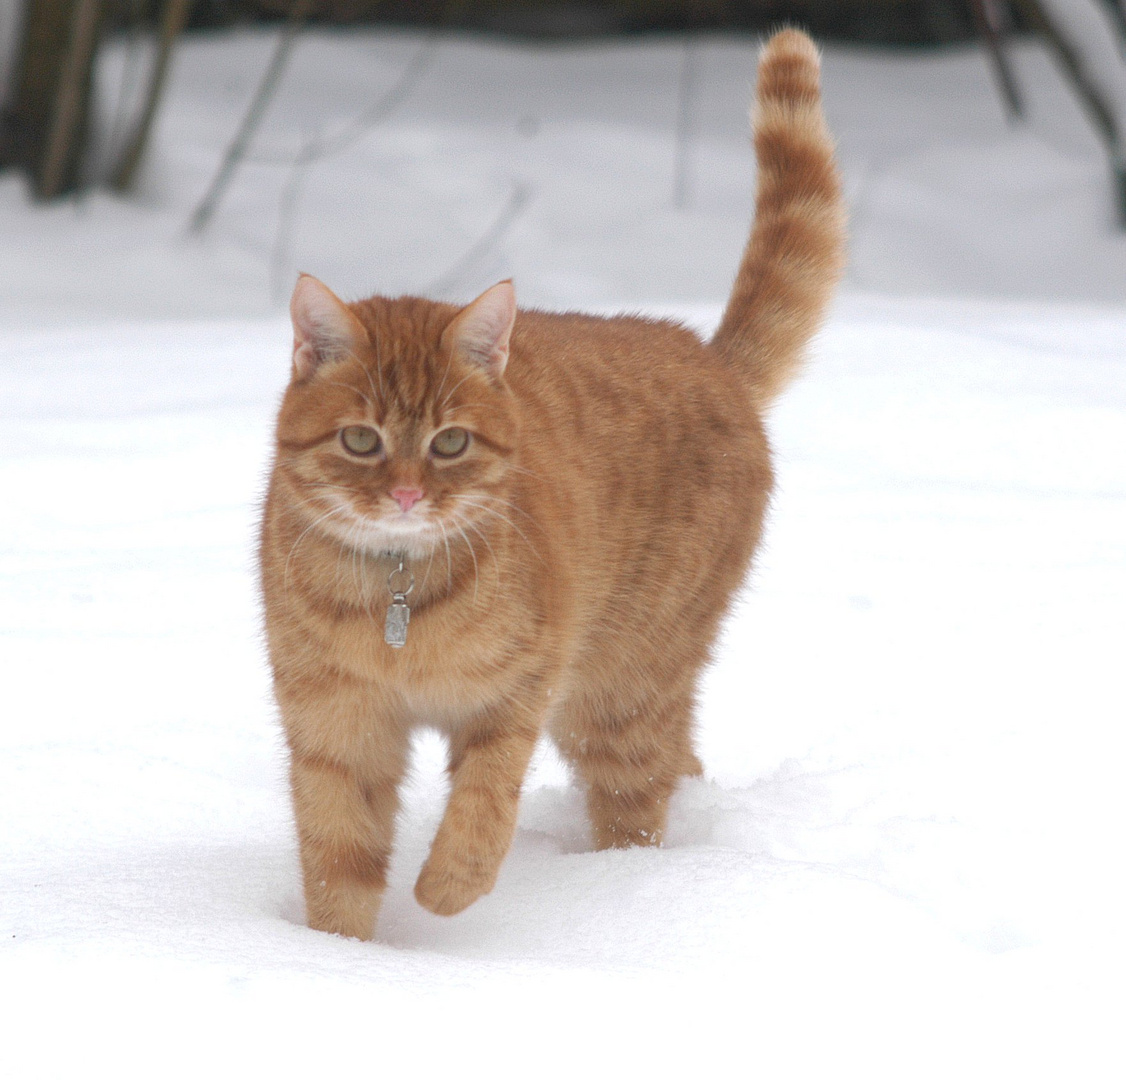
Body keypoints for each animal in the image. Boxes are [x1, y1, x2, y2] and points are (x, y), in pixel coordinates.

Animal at [261, 29, 846, 941]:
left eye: (450, 442)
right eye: (361, 440)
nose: (405, 496)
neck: (395, 602)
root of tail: (709, 356)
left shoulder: (518, 692)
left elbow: (483, 805)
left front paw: (448, 889)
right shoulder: (334, 727)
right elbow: (337, 857)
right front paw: (336, 959)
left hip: (618, 692)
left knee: (642, 797)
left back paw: (626, 890)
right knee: (682, 762)